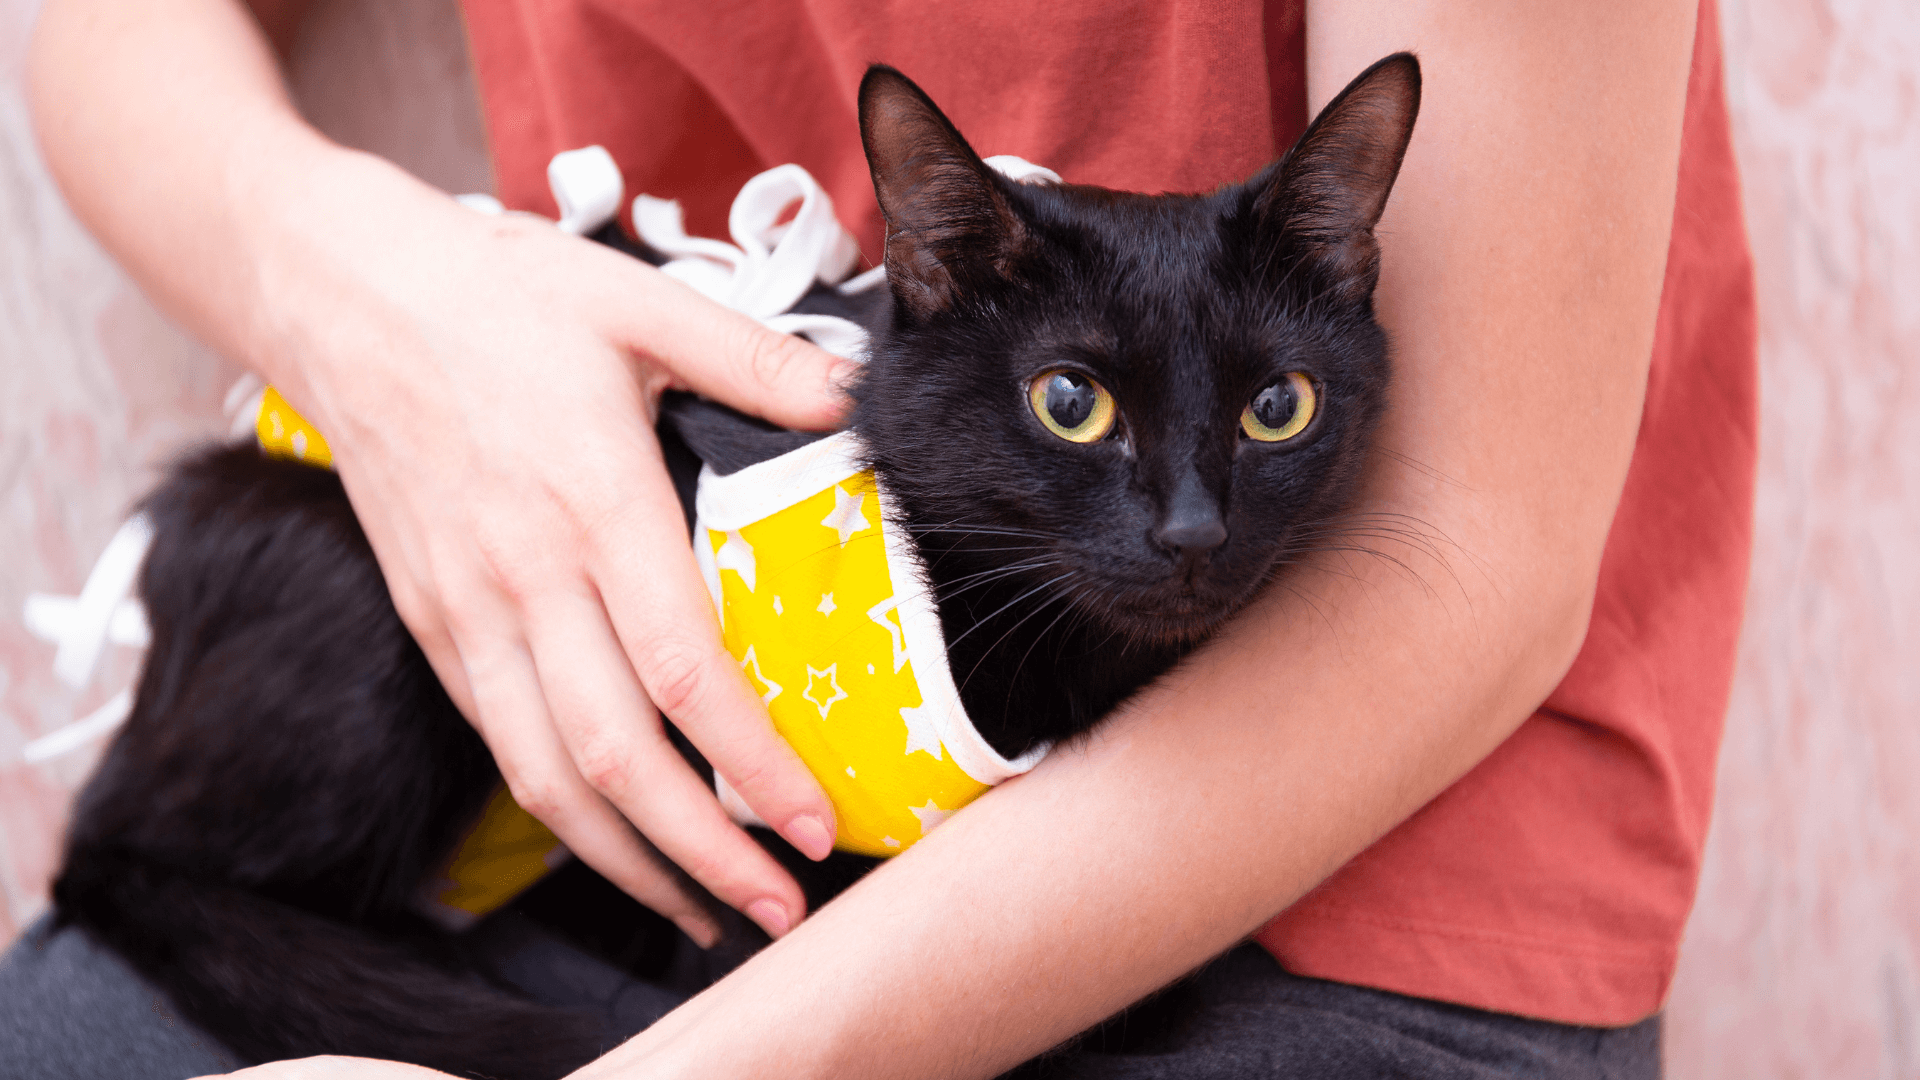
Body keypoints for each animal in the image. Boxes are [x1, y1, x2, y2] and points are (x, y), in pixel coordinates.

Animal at [52, 58, 1420, 1076]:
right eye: (1070, 402)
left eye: (1279, 406)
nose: (1193, 532)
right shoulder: (744, 816)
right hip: (378, 622)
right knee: (109, 853)